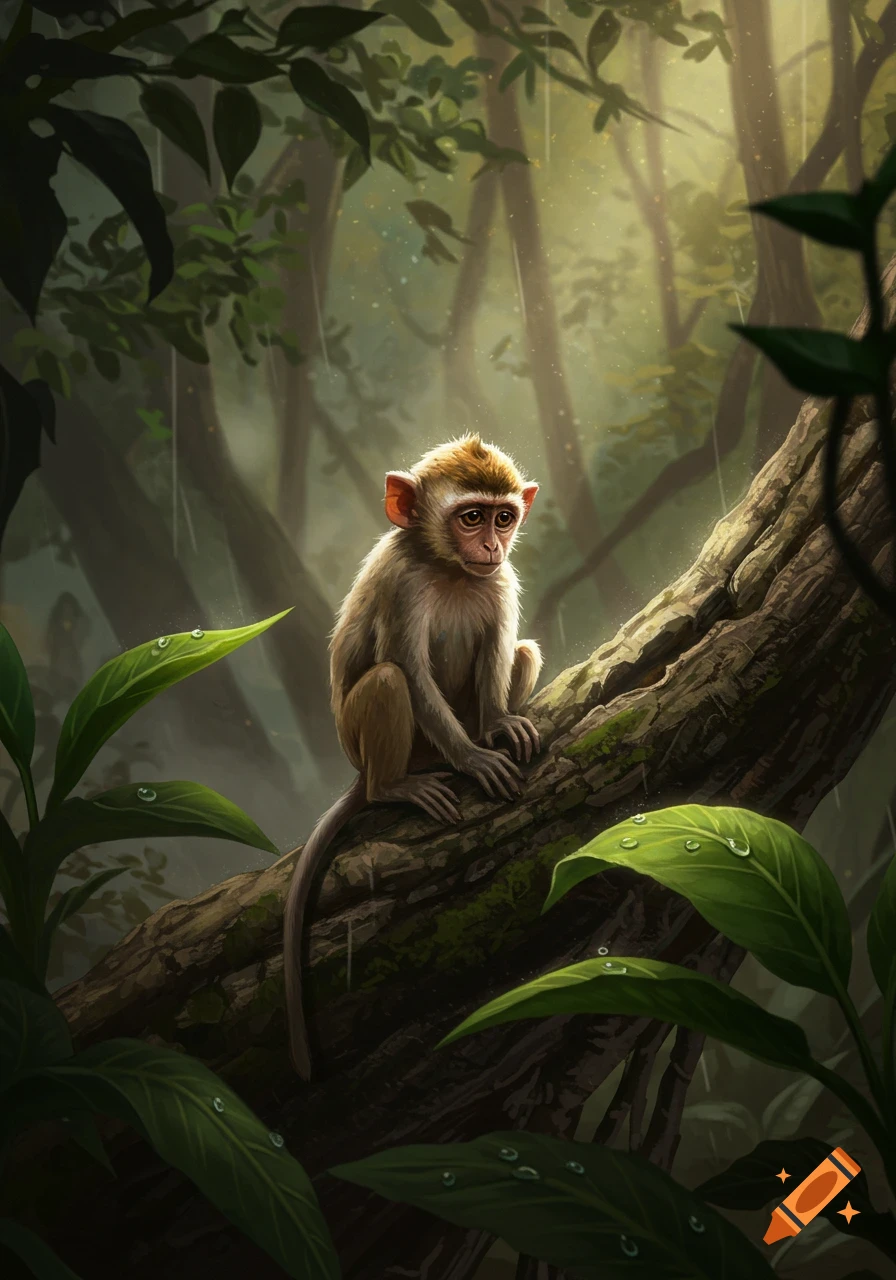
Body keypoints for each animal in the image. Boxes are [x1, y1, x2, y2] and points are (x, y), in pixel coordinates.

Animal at [283, 434, 544, 1079]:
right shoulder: (402, 586)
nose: (492, 544)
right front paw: (474, 761)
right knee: (387, 682)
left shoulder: (501, 579)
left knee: (523, 651)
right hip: (377, 743)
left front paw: (499, 726)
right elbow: (409, 670)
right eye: (471, 517)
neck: (448, 568)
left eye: (504, 517)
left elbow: (500, 647)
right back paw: (395, 787)